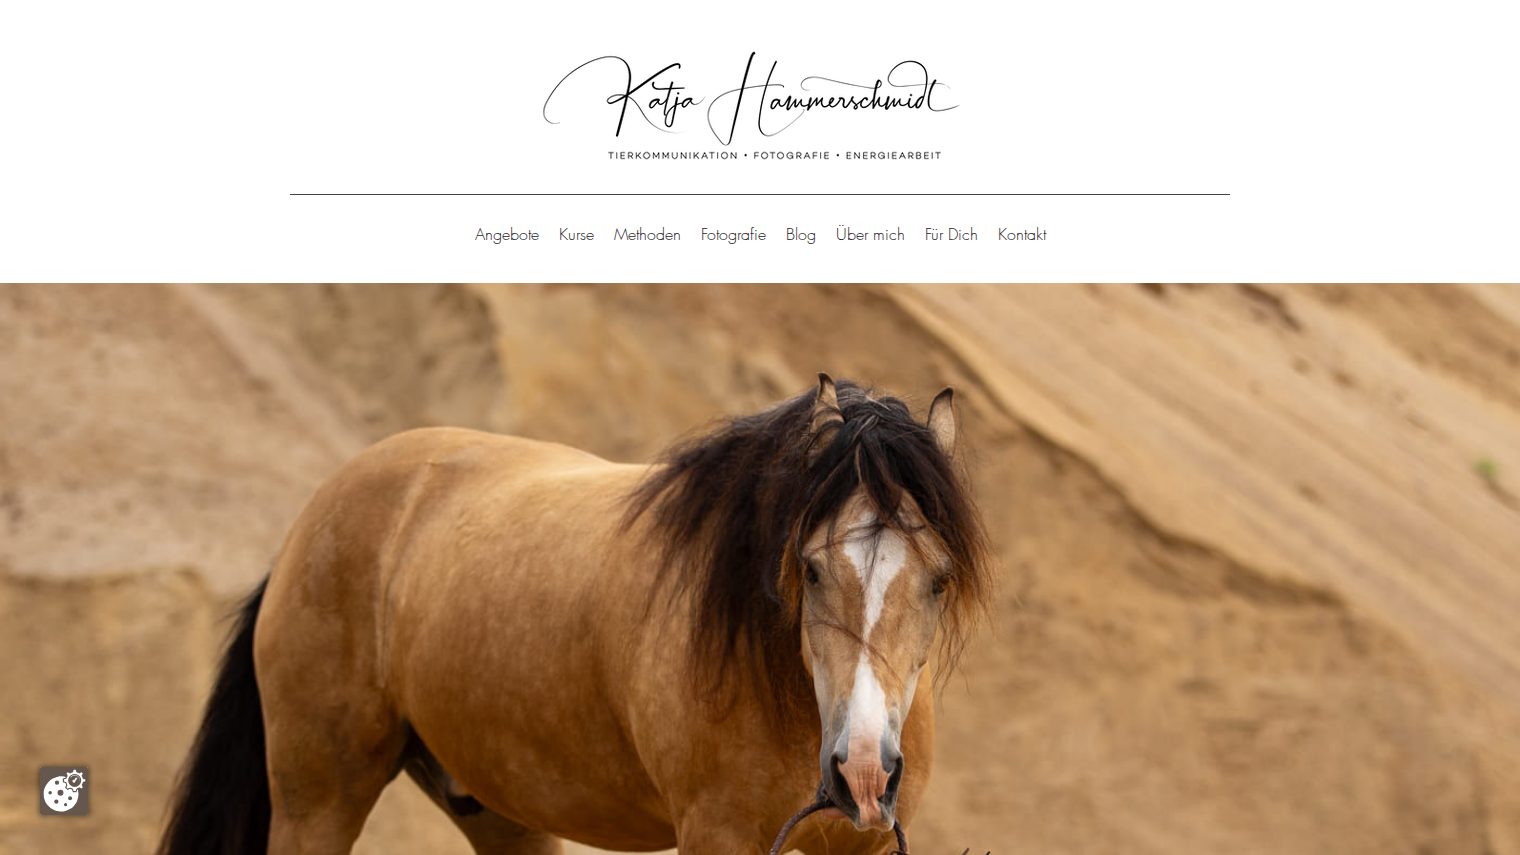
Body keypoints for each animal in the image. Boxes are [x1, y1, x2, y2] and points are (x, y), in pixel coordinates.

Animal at [158, 374, 993, 855]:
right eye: (811, 567)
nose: (862, 772)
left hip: (501, 808)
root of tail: (314, 518)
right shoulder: (718, 836)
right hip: (319, 796)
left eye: (939, 580)